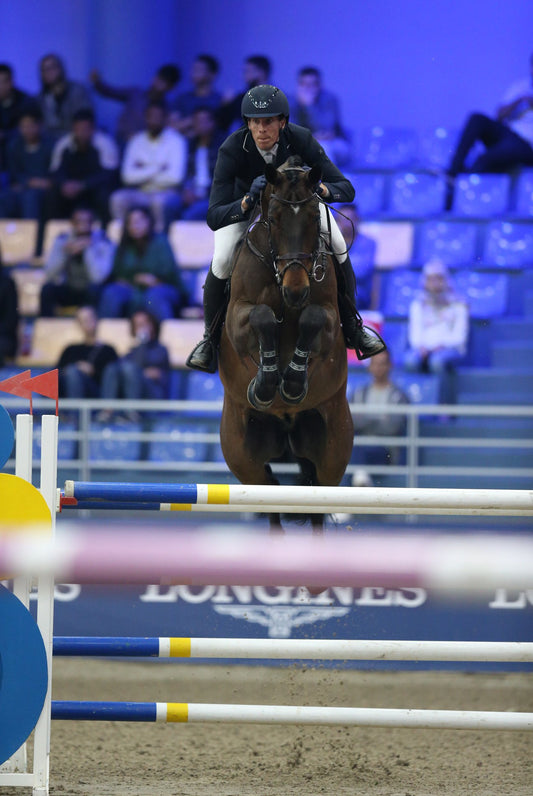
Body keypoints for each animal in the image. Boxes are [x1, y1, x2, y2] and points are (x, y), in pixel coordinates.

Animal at [216, 154, 354, 536]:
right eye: (274, 219)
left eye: (313, 217)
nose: (296, 291)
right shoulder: (237, 320)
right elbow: (263, 317)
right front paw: (265, 386)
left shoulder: (327, 319)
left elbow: (312, 320)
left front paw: (291, 382)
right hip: (243, 454)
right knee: (270, 494)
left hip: (331, 447)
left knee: (317, 498)